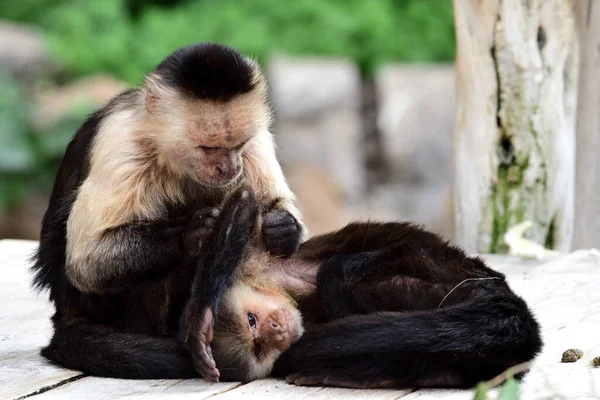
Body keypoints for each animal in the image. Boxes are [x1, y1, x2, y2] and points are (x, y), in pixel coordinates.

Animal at [31, 42, 304, 380]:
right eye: (208, 147)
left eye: (236, 144)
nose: (230, 168)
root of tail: (65, 309)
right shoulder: (122, 144)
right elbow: (87, 263)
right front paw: (194, 231)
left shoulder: (255, 141)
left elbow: (272, 209)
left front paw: (281, 228)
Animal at [192, 188, 544, 388]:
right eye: (257, 347)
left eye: (252, 320)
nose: (275, 331)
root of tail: (491, 285)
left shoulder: (257, 265)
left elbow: (243, 212)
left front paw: (198, 323)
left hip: (431, 274)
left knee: (337, 274)